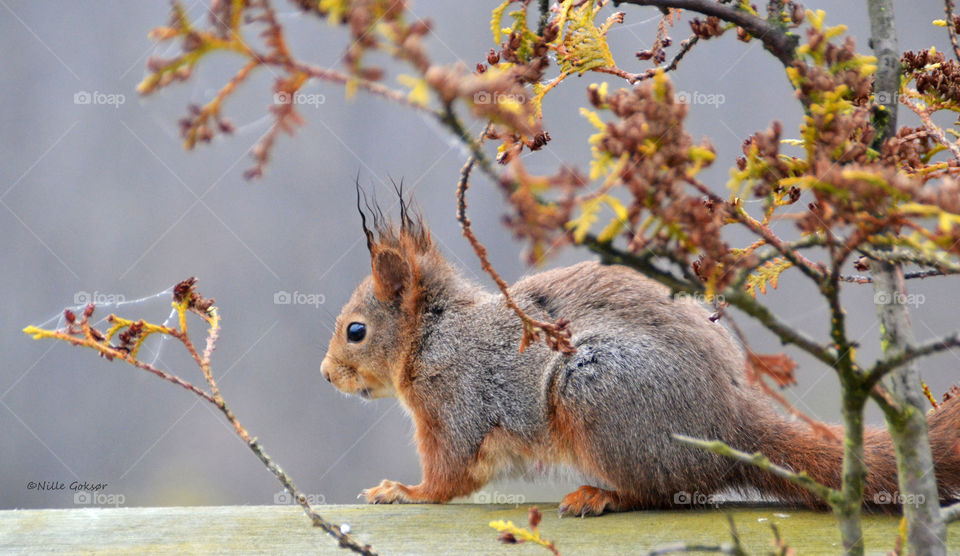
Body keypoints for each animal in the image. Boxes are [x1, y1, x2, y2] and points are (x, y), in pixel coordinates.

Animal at [320, 205, 960, 516]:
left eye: (356, 331)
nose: (326, 375)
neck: (434, 336)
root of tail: (730, 424)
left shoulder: (455, 401)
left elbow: (449, 476)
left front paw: (403, 492)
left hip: (597, 397)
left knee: (664, 492)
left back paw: (600, 497)